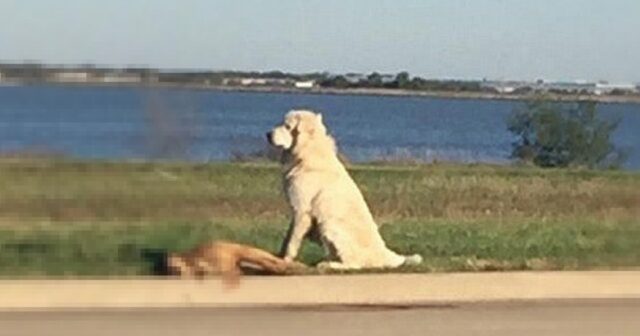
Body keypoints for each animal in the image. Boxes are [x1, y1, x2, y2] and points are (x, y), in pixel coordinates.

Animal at [268, 110, 422, 270]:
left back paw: (328, 265)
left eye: (287, 126)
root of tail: (385, 254)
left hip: (329, 225)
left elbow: (292, 242)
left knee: (353, 264)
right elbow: (287, 238)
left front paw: (285, 261)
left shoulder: (302, 210)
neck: (308, 151)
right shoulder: (297, 212)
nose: (268, 134)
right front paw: (277, 257)